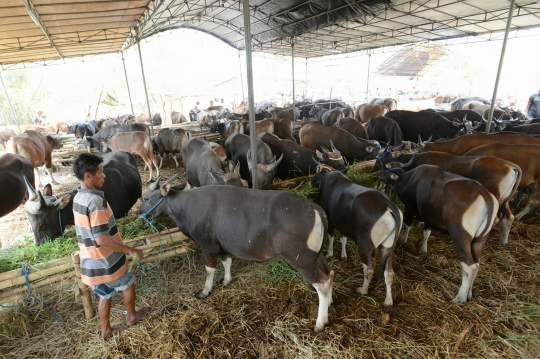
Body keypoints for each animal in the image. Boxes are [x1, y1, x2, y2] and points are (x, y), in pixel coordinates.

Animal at [138, 181, 334, 334]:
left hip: (301, 258)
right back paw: (329, 304)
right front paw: (226, 281)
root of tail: (314, 207)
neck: (188, 206)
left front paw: (205, 291)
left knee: (322, 283)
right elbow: (227, 262)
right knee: (329, 273)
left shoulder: (207, 246)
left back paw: (320, 323)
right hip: (316, 256)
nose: (139, 213)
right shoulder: (224, 245)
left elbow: (209, 270)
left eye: (147, 198)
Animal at [316, 169, 400, 306]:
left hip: (365, 246)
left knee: (369, 270)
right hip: (389, 247)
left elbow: (331, 237)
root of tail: (389, 205)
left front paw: (329, 254)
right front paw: (343, 255)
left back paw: (362, 289)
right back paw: (388, 301)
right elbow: (343, 239)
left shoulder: (329, 219)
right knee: (389, 272)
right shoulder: (343, 225)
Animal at [380, 163, 498, 304]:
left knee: (470, 267)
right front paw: (423, 249)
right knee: (477, 264)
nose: (379, 177)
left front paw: (403, 241)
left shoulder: (409, 207)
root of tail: (484, 193)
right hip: (479, 240)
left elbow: (408, 224)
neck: (409, 179)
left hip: (461, 237)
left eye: (385, 171)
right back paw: (469, 294)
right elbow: (427, 232)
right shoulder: (429, 217)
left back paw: (460, 297)